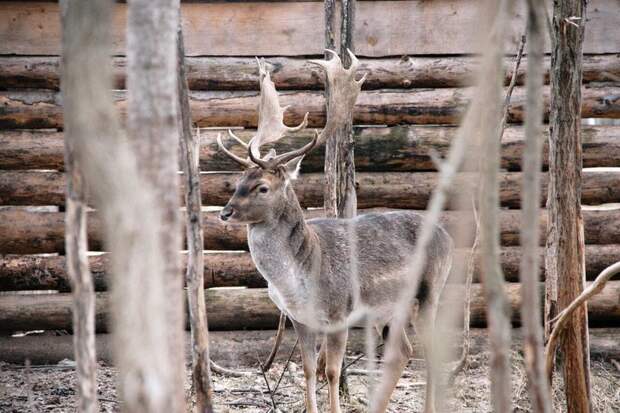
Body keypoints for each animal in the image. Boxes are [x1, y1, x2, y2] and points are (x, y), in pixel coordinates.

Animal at [218, 50, 456, 412]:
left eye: (262, 187)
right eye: (238, 182)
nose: (225, 212)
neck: (300, 277)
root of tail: (449, 237)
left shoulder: (339, 311)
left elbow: (330, 371)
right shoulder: (299, 318)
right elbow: (307, 370)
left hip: (431, 290)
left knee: (431, 354)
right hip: (390, 308)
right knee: (403, 351)